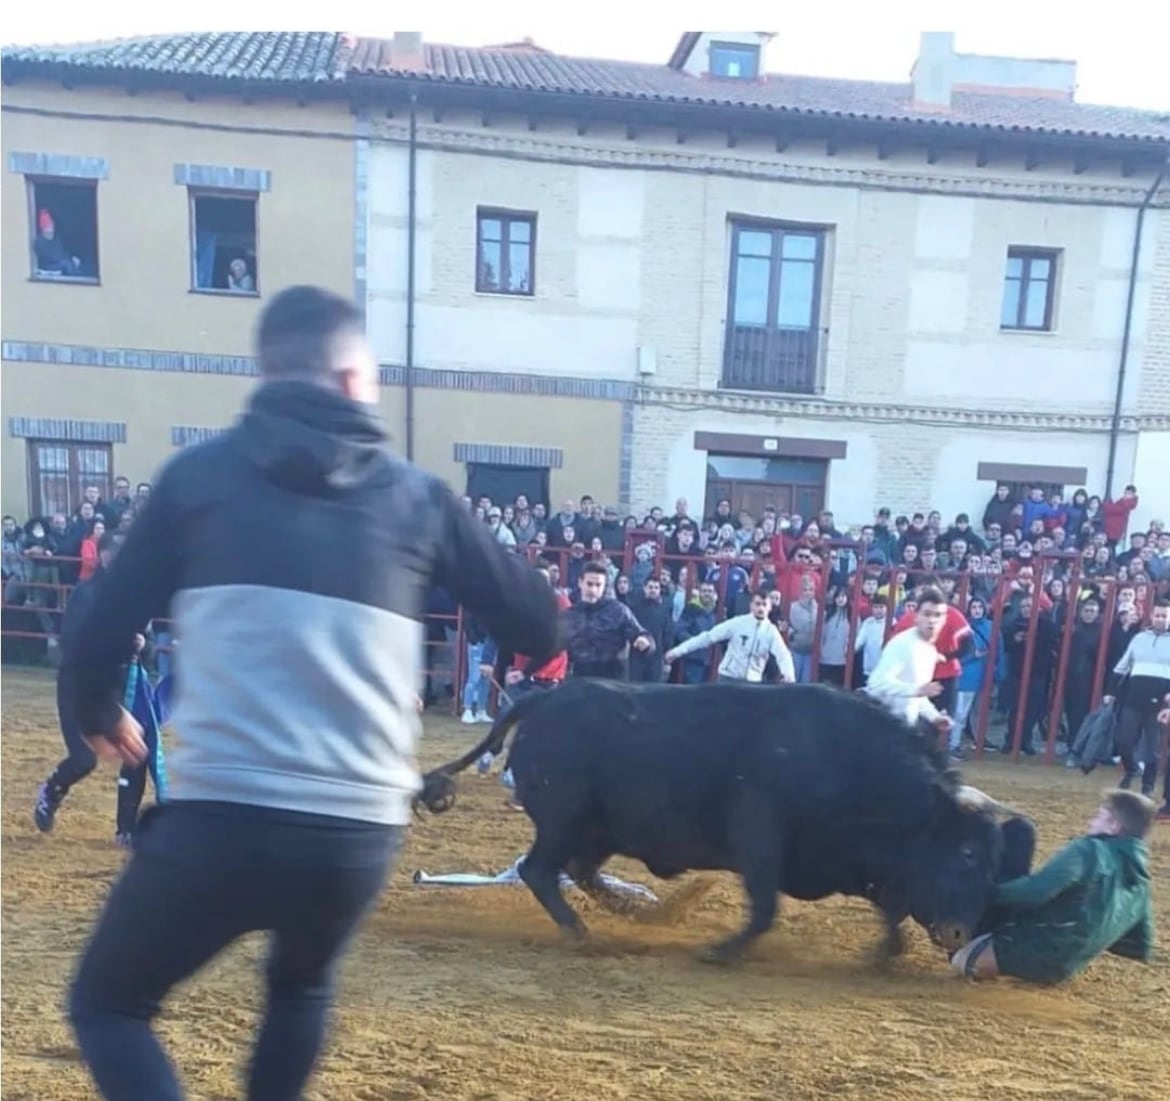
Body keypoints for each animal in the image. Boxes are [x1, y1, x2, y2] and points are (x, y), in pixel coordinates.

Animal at [418, 678, 1034, 964]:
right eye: (966, 855)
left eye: (991, 864)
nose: (959, 932)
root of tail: (545, 698)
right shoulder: (761, 836)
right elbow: (763, 908)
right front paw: (723, 950)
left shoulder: (850, 862)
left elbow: (888, 908)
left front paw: (884, 954)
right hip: (565, 817)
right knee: (540, 870)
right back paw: (580, 931)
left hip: (600, 829)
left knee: (578, 871)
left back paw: (641, 913)